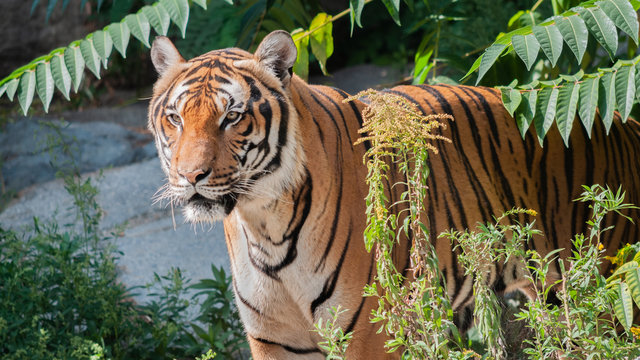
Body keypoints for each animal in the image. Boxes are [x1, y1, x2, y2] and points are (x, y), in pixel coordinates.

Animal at [146, 29, 640, 358]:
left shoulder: (368, 333)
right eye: (175, 118)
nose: (191, 176)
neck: (264, 221)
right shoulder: (274, 339)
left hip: (608, 297)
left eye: (232, 117)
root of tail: (619, 118)